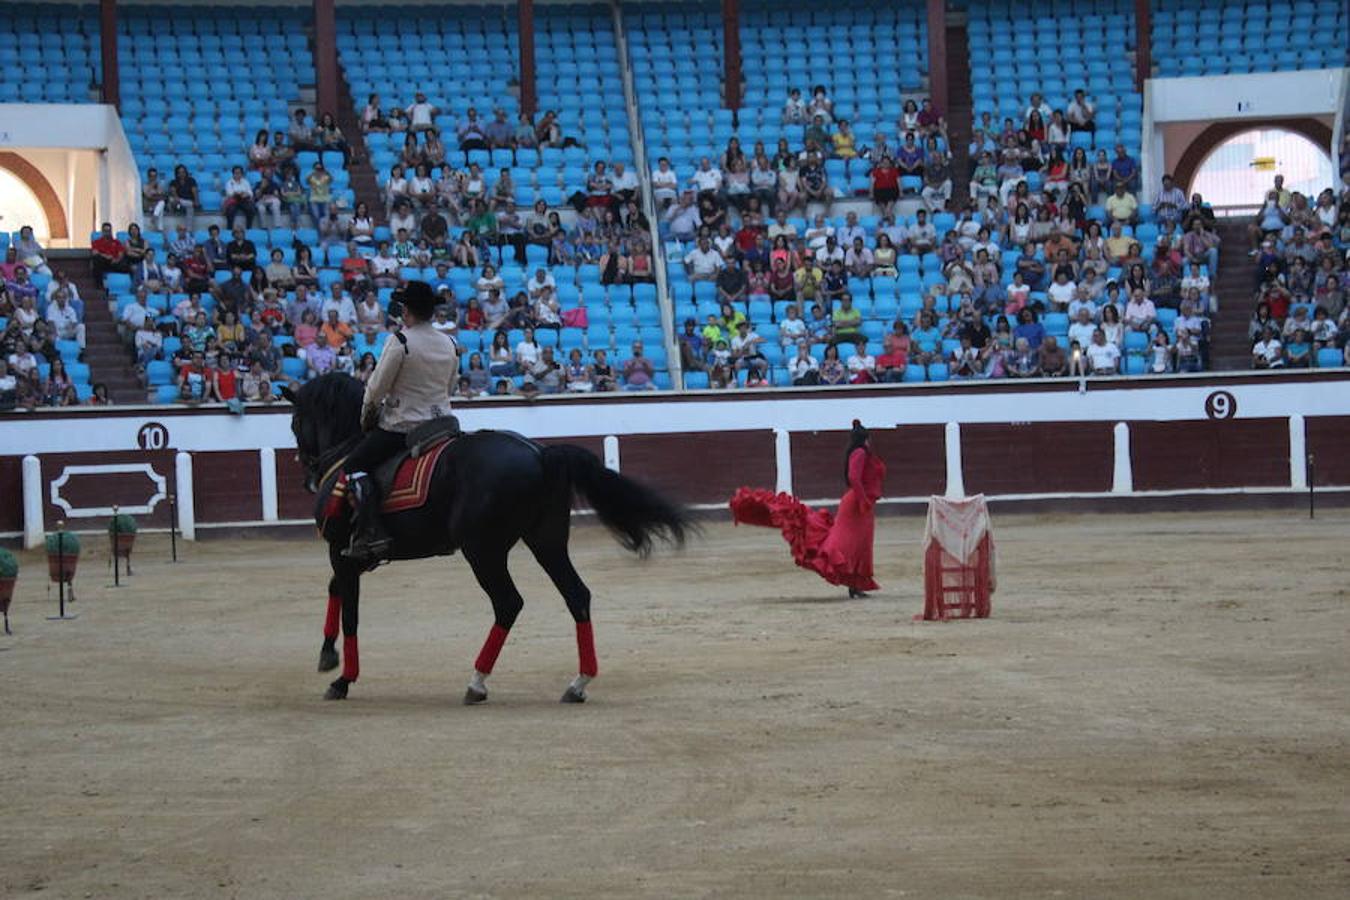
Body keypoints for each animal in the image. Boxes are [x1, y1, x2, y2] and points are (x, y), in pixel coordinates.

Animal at [282, 373, 693, 704]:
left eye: (295, 421)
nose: (308, 476)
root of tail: (540, 454)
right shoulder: (355, 556)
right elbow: (335, 590)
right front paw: (327, 655)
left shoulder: (341, 551)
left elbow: (350, 612)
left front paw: (342, 679)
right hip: (546, 542)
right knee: (577, 595)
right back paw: (577, 684)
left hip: (483, 551)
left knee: (508, 603)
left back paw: (477, 682)